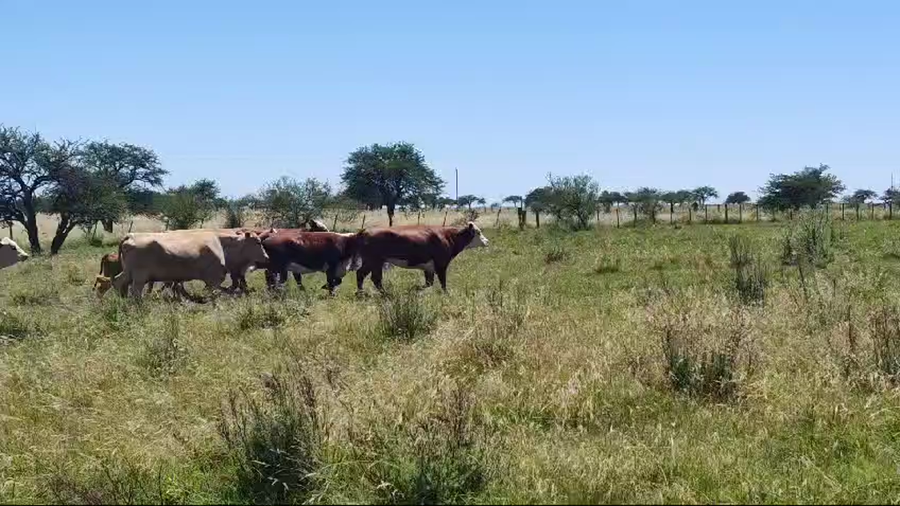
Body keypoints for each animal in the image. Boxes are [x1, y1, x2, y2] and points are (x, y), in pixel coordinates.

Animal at [112, 230, 268, 299]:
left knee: (118, 282)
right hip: (140, 276)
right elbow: (215, 295)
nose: (267, 257)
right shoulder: (214, 278)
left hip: (128, 272)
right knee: (136, 291)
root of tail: (130, 235)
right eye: (258, 242)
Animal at [355, 222, 489, 293]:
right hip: (374, 261)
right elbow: (443, 282)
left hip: (374, 262)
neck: (448, 237)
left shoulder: (429, 268)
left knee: (367, 276)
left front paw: (418, 288)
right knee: (370, 277)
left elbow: (429, 282)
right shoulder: (441, 265)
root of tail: (365, 231)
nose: (487, 241)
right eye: (478, 232)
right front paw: (446, 293)